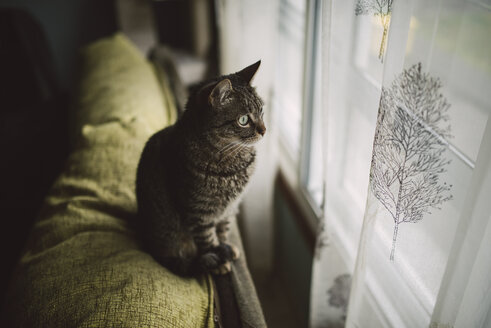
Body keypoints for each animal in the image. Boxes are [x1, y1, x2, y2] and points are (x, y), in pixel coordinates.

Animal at [135, 60, 266, 274]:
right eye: (244, 120)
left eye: (262, 111)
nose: (264, 130)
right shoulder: (199, 213)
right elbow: (208, 240)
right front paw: (219, 259)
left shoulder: (229, 210)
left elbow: (223, 231)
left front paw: (225, 247)